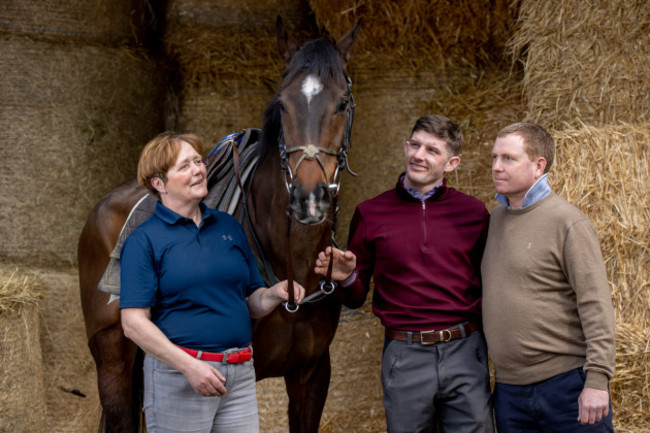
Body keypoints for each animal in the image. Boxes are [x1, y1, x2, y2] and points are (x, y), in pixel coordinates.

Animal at [78, 16, 360, 432]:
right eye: (282, 103)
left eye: (341, 103)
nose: (308, 197)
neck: (291, 259)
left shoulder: (311, 374)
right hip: (112, 352)